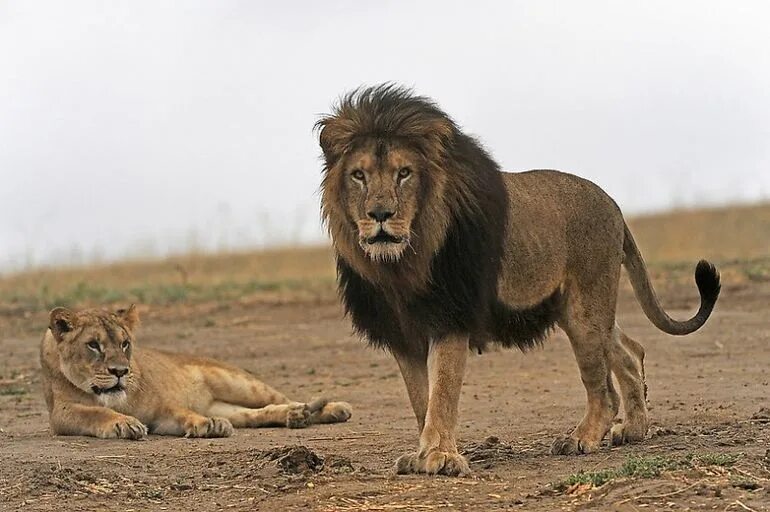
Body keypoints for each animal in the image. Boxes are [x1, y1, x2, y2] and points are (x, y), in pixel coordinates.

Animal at [40, 306, 352, 438]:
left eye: (124, 343)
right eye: (93, 345)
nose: (120, 371)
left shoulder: (162, 409)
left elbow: (182, 412)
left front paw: (208, 425)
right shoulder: (61, 413)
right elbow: (94, 412)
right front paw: (123, 424)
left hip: (238, 382)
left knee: (282, 398)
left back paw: (329, 408)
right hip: (230, 406)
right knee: (257, 413)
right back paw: (296, 416)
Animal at [316, 85, 716, 476]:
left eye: (404, 173)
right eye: (358, 175)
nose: (380, 214)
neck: (400, 266)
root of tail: (613, 204)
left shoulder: (451, 317)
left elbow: (442, 393)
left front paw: (440, 457)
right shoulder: (402, 331)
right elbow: (421, 399)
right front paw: (422, 455)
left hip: (585, 309)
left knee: (601, 387)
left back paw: (582, 438)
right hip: (581, 311)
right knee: (630, 351)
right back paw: (634, 428)